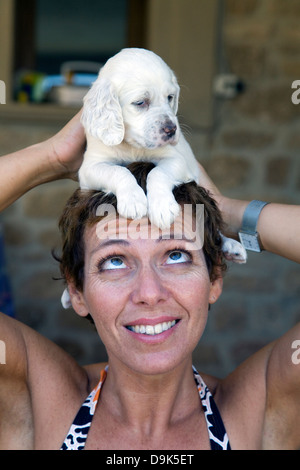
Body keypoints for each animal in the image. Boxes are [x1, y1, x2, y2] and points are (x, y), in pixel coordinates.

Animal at [61, 47, 246, 308]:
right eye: (141, 102)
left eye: (170, 98)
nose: (171, 130)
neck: (133, 147)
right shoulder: (91, 166)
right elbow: (118, 170)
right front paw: (134, 199)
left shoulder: (177, 160)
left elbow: (158, 172)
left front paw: (161, 207)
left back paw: (231, 246)